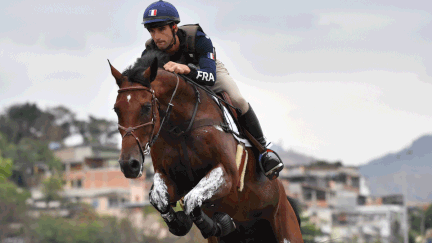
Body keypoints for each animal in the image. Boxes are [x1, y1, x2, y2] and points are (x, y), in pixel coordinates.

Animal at [109, 49, 304, 243]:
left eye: (146, 107)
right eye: (116, 109)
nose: (129, 164)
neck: (181, 128)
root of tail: (286, 198)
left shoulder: (227, 175)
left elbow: (192, 199)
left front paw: (220, 224)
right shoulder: (170, 178)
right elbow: (160, 200)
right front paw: (182, 224)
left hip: (286, 228)